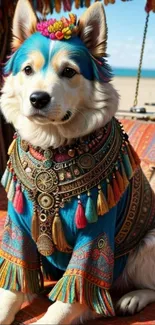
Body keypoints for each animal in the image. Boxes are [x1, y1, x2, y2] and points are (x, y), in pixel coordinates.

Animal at [0, 0, 155, 322]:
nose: (38, 99)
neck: (52, 150)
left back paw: (132, 298)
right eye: (28, 69)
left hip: (149, 244)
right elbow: (13, 285)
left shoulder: (96, 234)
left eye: (69, 71)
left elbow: (70, 296)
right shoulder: (18, 229)